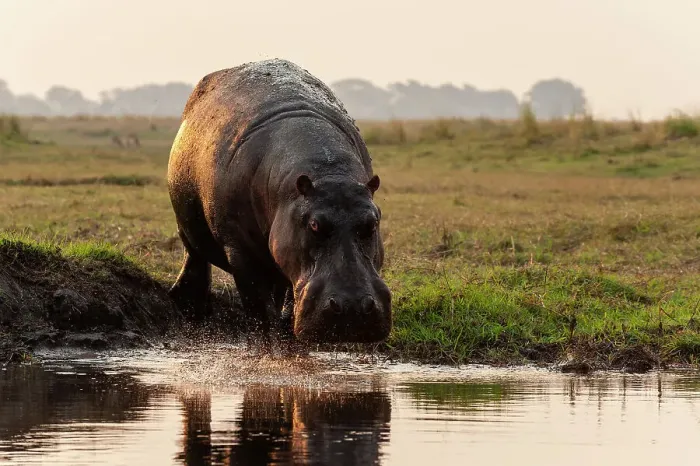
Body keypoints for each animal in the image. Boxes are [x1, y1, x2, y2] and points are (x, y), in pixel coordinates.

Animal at [167, 59, 391, 349]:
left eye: (372, 223)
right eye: (314, 225)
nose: (352, 306)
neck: (328, 172)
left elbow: (287, 305)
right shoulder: (239, 250)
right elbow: (259, 311)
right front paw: (268, 349)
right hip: (189, 226)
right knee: (195, 256)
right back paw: (190, 306)